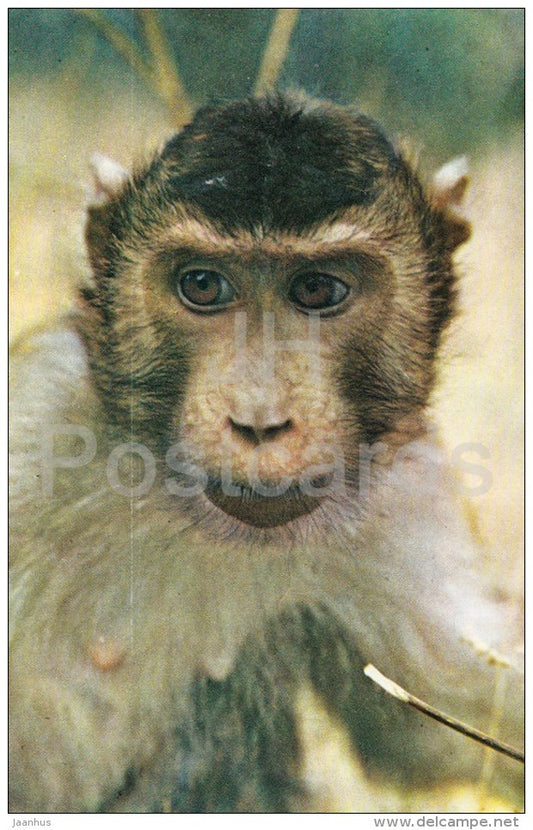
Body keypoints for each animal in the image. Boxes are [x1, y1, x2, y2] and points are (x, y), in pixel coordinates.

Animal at [9, 93, 523, 813]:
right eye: (202, 285)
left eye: (317, 291)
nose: (257, 420)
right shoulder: (34, 430)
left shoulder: (405, 499)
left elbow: (455, 736)